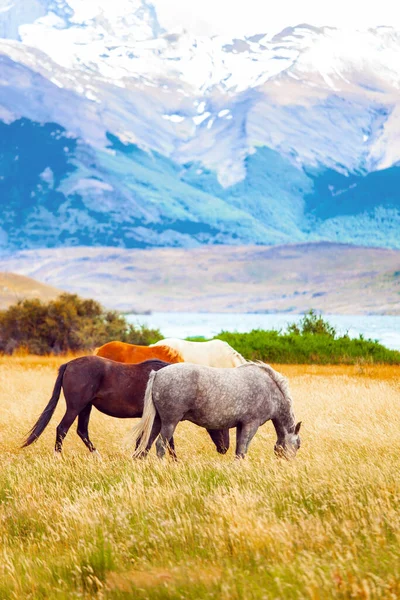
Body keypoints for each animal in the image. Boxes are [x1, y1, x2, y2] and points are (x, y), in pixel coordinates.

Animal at [21, 356, 228, 454]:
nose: (224, 448)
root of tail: (69, 364)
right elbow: (164, 443)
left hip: (86, 407)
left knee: (82, 431)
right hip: (75, 407)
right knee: (62, 429)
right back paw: (59, 457)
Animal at [130, 360, 300, 460]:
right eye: (298, 445)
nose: (289, 463)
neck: (269, 388)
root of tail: (157, 374)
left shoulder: (241, 426)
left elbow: (239, 449)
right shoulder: (251, 425)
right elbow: (243, 449)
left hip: (157, 421)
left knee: (145, 444)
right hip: (169, 423)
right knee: (160, 445)